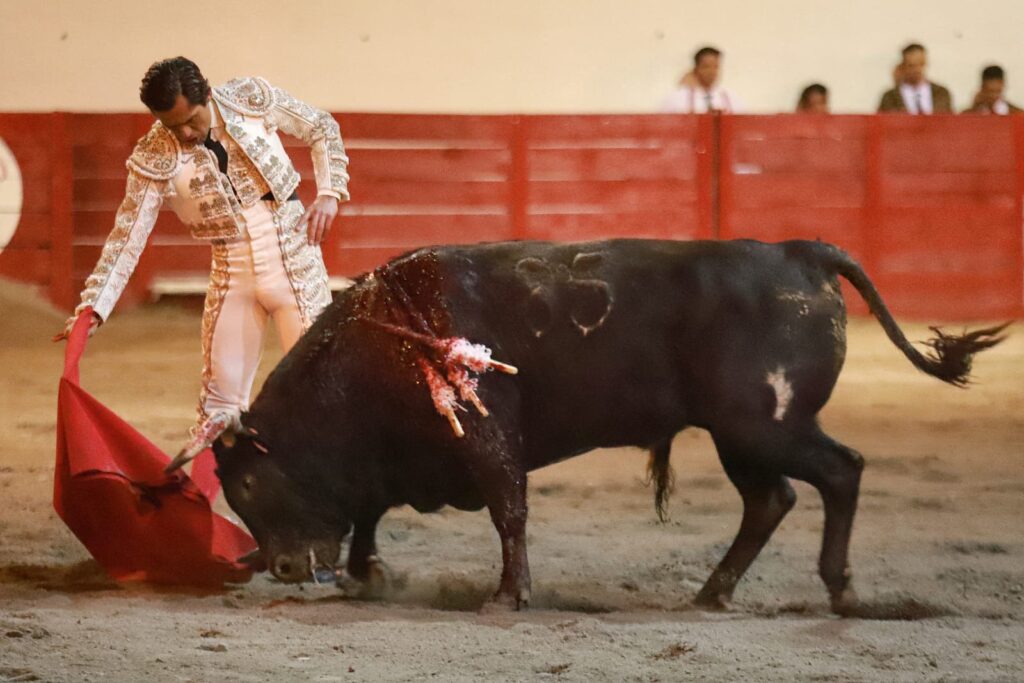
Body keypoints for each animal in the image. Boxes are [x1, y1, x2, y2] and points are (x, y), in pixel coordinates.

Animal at [203, 237, 1003, 610]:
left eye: (248, 483)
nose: (279, 567)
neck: (382, 341)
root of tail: (797, 252)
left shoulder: (491, 438)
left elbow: (509, 511)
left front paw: (507, 595)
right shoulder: (396, 460)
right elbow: (369, 510)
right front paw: (368, 572)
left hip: (766, 425)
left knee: (840, 472)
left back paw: (839, 589)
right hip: (739, 436)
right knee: (770, 499)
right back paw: (713, 591)